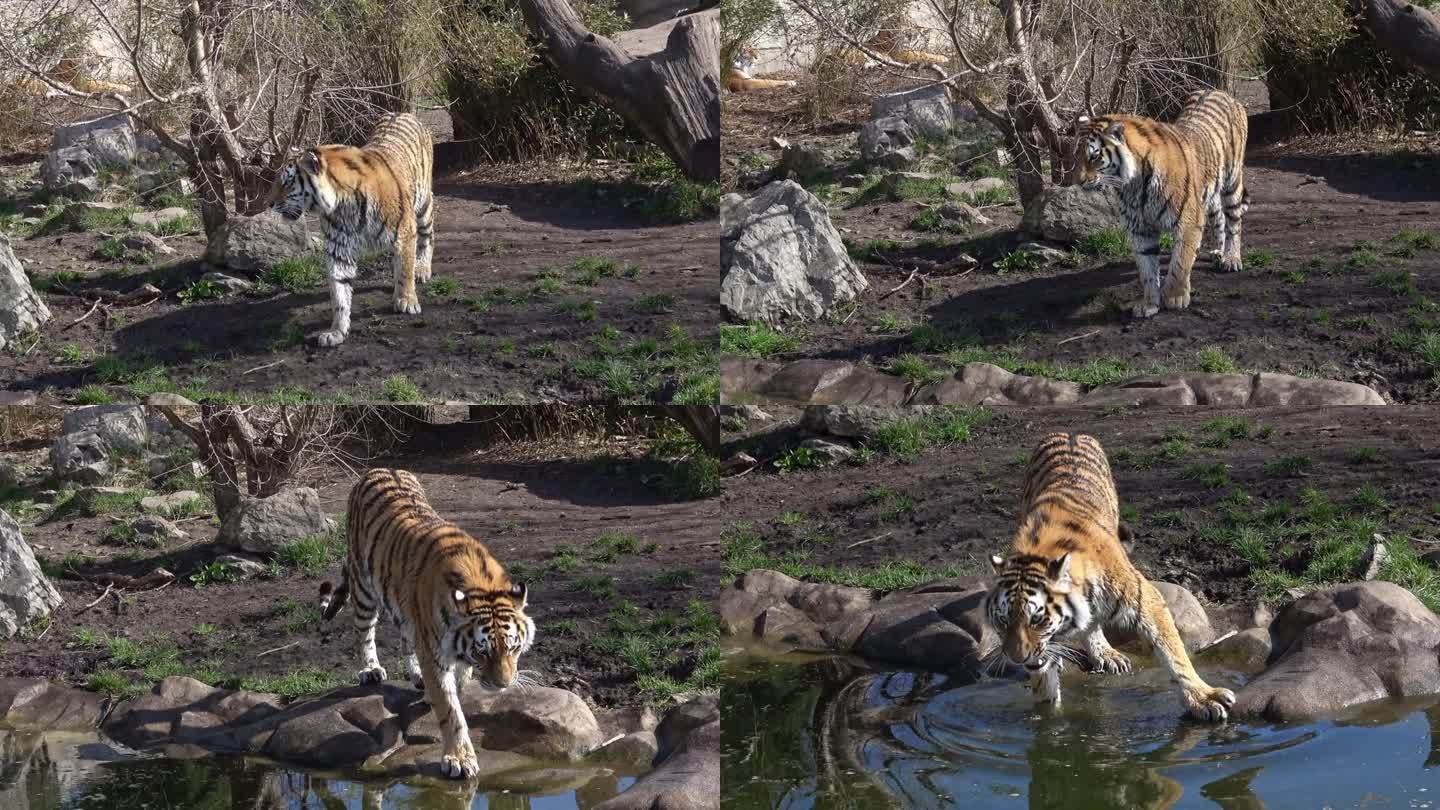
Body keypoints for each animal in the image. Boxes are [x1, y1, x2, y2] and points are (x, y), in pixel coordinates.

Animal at [267, 109, 429, 343]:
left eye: (287, 183)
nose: (268, 203)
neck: (342, 203)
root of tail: (402, 112)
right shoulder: (339, 248)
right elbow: (339, 293)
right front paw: (336, 331)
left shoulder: (405, 230)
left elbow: (406, 269)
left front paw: (407, 301)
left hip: (423, 202)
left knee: (427, 235)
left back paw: (423, 269)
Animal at [318, 466, 538, 778]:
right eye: (483, 651)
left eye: (513, 648)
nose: (503, 685)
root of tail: (376, 469)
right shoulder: (435, 653)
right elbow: (450, 709)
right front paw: (459, 758)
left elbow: (457, 684)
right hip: (364, 588)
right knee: (363, 631)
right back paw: (371, 669)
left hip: (404, 608)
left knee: (404, 639)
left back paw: (416, 677)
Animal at [979, 432, 1238, 720]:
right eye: (1003, 620)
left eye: (1037, 619)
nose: (1017, 658)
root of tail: (1069, 433)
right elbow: (1045, 683)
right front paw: (1047, 718)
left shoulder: (1146, 599)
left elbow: (1174, 654)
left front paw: (1202, 698)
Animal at [1071, 86, 1249, 317]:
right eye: (1076, 155)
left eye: (1094, 156)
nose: (1078, 181)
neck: (1132, 185)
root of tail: (1217, 91)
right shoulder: (1140, 229)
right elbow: (1147, 270)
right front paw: (1149, 304)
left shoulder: (1188, 221)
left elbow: (1180, 263)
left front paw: (1175, 298)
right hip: (1209, 192)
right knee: (1218, 216)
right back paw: (1218, 252)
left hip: (1232, 181)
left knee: (1234, 222)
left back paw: (1231, 259)